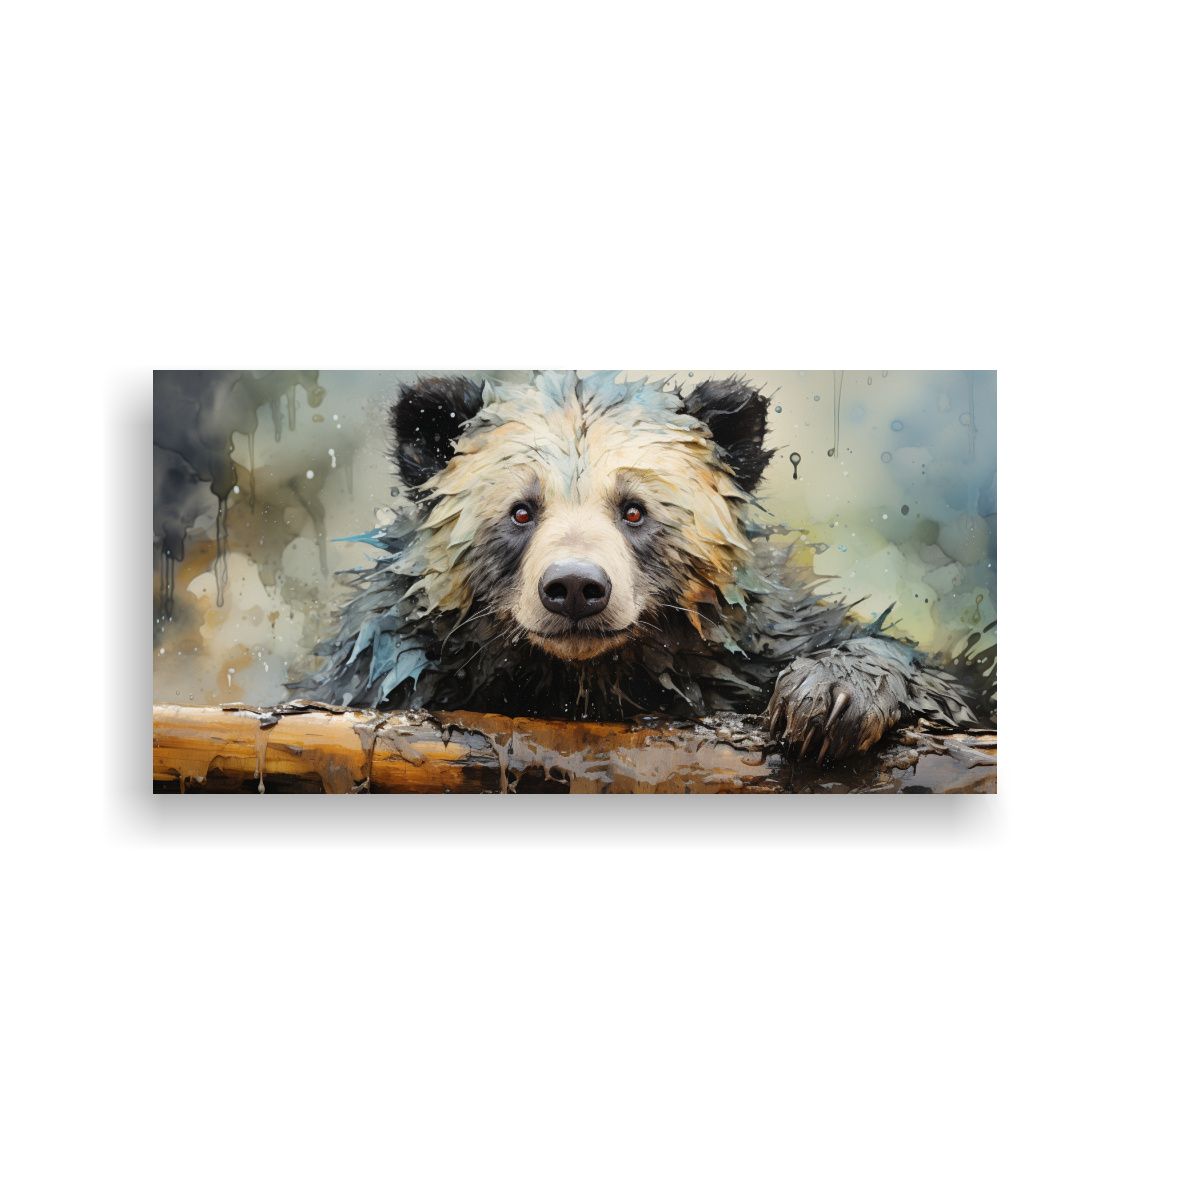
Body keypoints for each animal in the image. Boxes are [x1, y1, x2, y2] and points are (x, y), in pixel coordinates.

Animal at [295, 371, 984, 762]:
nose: (575, 587)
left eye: (633, 510)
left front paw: (829, 701)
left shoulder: (746, 653)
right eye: (521, 511)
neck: (579, 684)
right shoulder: (392, 665)